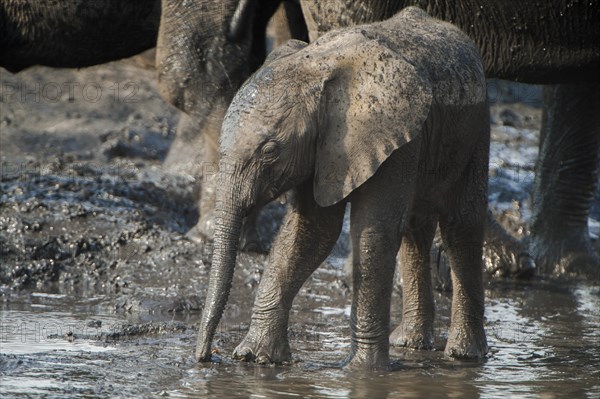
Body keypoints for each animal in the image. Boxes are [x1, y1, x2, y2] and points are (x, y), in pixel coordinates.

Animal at [196, 6, 488, 370]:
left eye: (270, 151)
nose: (206, 357)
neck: (314, 65)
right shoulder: (322, 147)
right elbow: (311, 229)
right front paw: (256, 358)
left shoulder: (393, 135)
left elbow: (373, 230)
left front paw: (362, 371)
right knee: (416, 228)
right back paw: (410, 343)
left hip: (476, 127)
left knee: (461, 225)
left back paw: (464, 355)